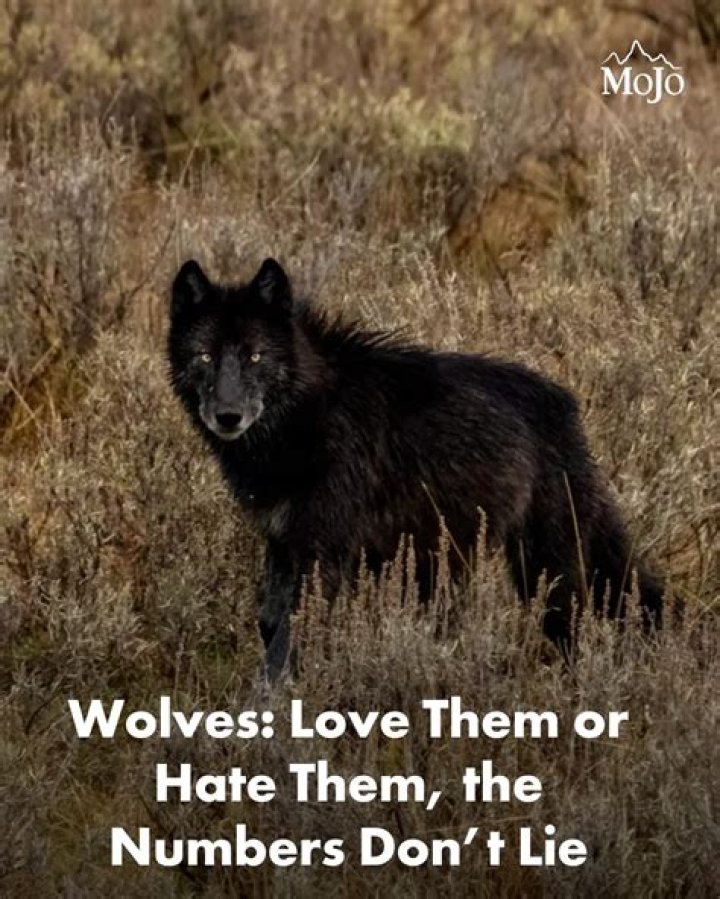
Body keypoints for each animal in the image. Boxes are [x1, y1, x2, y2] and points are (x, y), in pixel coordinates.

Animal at [168, 258, 663, 679]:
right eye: (205, 356)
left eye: (255, 356)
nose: (228, 416)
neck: (306, 414)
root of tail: (566, 402)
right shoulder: (283, 540)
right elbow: (270, 622)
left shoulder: (323, 551)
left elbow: (286, 635)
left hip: (544, 567)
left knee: (580, 620)